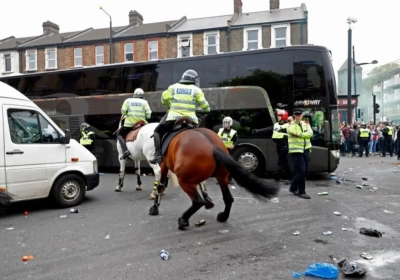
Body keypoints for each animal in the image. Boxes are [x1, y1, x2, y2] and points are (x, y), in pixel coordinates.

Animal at [148, 117, 280, 230]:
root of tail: (213, 147)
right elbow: (202, 184)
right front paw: (208, 201)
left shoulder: (164, 165)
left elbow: (160, 185)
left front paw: (154, 208)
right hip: (222, 177)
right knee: (228, 198)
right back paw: (223, 216)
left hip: (184, 180)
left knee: (197, 201)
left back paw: (183, 220)